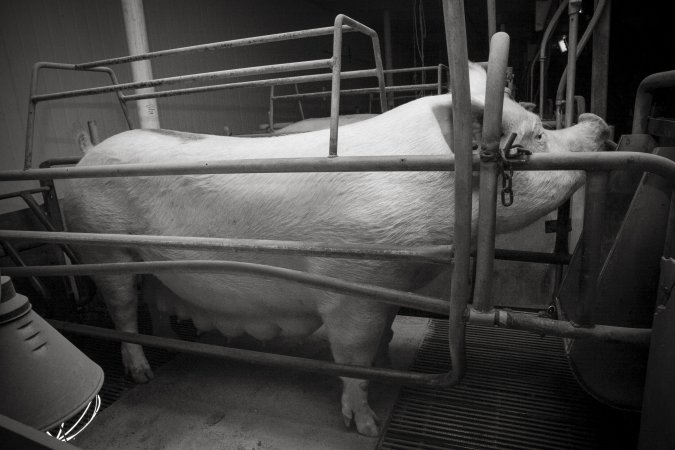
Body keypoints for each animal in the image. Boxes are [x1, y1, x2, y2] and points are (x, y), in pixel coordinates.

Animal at [62, 63, 612, 436]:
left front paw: (391, 368)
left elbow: (385, 332)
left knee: (148, 299)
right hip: (101, 248)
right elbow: (352, 353)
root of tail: (85, 155)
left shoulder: (387, 283)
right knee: (122, 307)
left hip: (146, 261)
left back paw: (169, 347)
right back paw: (141, 375)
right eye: (538, 134)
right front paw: (365, 425)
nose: (598, 122)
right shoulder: (352, 283)